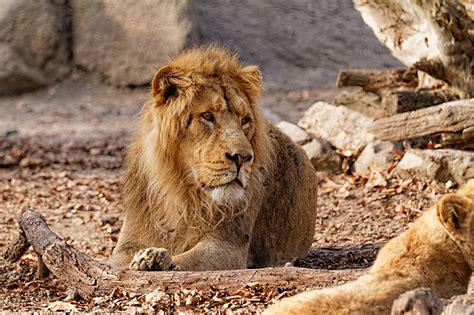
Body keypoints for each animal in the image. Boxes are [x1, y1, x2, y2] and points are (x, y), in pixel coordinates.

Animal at [109, 45, 318, 272]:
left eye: (245, 120)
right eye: (208, 116)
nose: (243, 157)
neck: (180, 195)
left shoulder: (228, 245)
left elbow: (187, 261)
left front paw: (159, 259)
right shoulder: (126, 245)